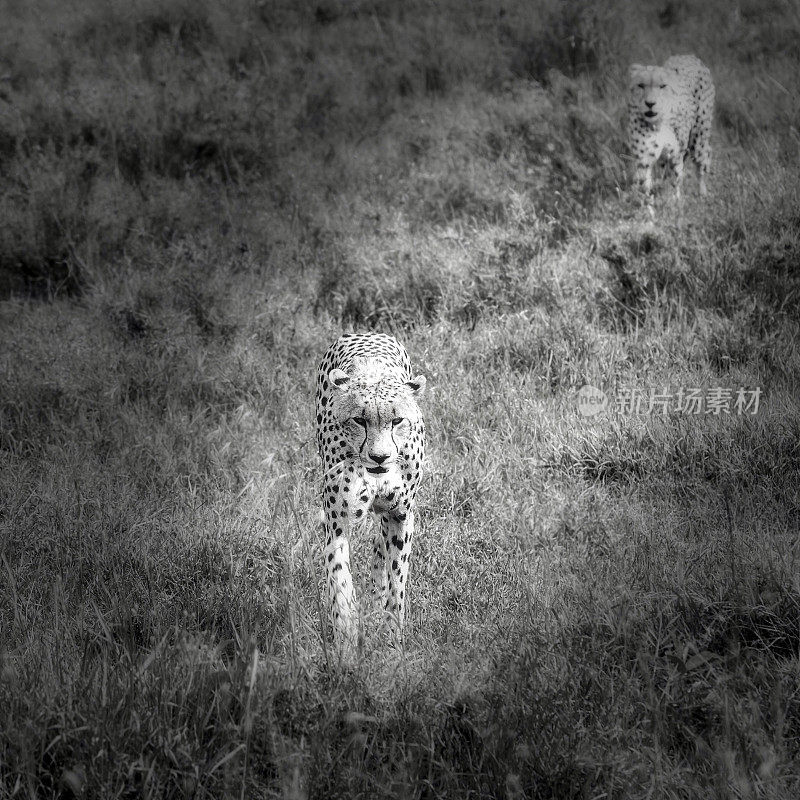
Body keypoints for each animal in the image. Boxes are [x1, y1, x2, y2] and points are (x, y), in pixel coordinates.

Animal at [312, 334, 424, 660]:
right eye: (359, 420)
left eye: (397, 420)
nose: (379, 456)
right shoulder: (337, 520)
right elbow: (339, 576)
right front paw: (346, 640)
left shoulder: (401, 515)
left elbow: (398, 583)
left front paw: (392, 644)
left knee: (380, 549)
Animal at [628, 55, 716, 203]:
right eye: (641, 85)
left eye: (662, 86)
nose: (650, 103)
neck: (657, 123)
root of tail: (689, 56)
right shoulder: (645, 154)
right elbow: (644, 179)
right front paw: (646, 201)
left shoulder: (676, 153)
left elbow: (675, 177)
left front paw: (674, 200)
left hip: (699, 136)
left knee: (701, 161)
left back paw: (702, 192)